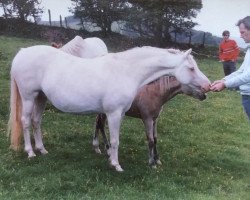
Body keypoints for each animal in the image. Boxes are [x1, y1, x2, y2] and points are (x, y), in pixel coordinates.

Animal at [8, 45, 210, 170]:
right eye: (191, 68)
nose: (208, 86)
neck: (127, 71)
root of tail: (22, 53)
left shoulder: (120, 114)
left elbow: (114, 138)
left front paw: (111, 159)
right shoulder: (114, 113)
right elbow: (115, 140)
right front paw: (116, 165)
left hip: (41, 97)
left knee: (36, 121)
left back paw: (42, 149)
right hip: (29, 97)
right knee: (26, 122)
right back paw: (30, 152)